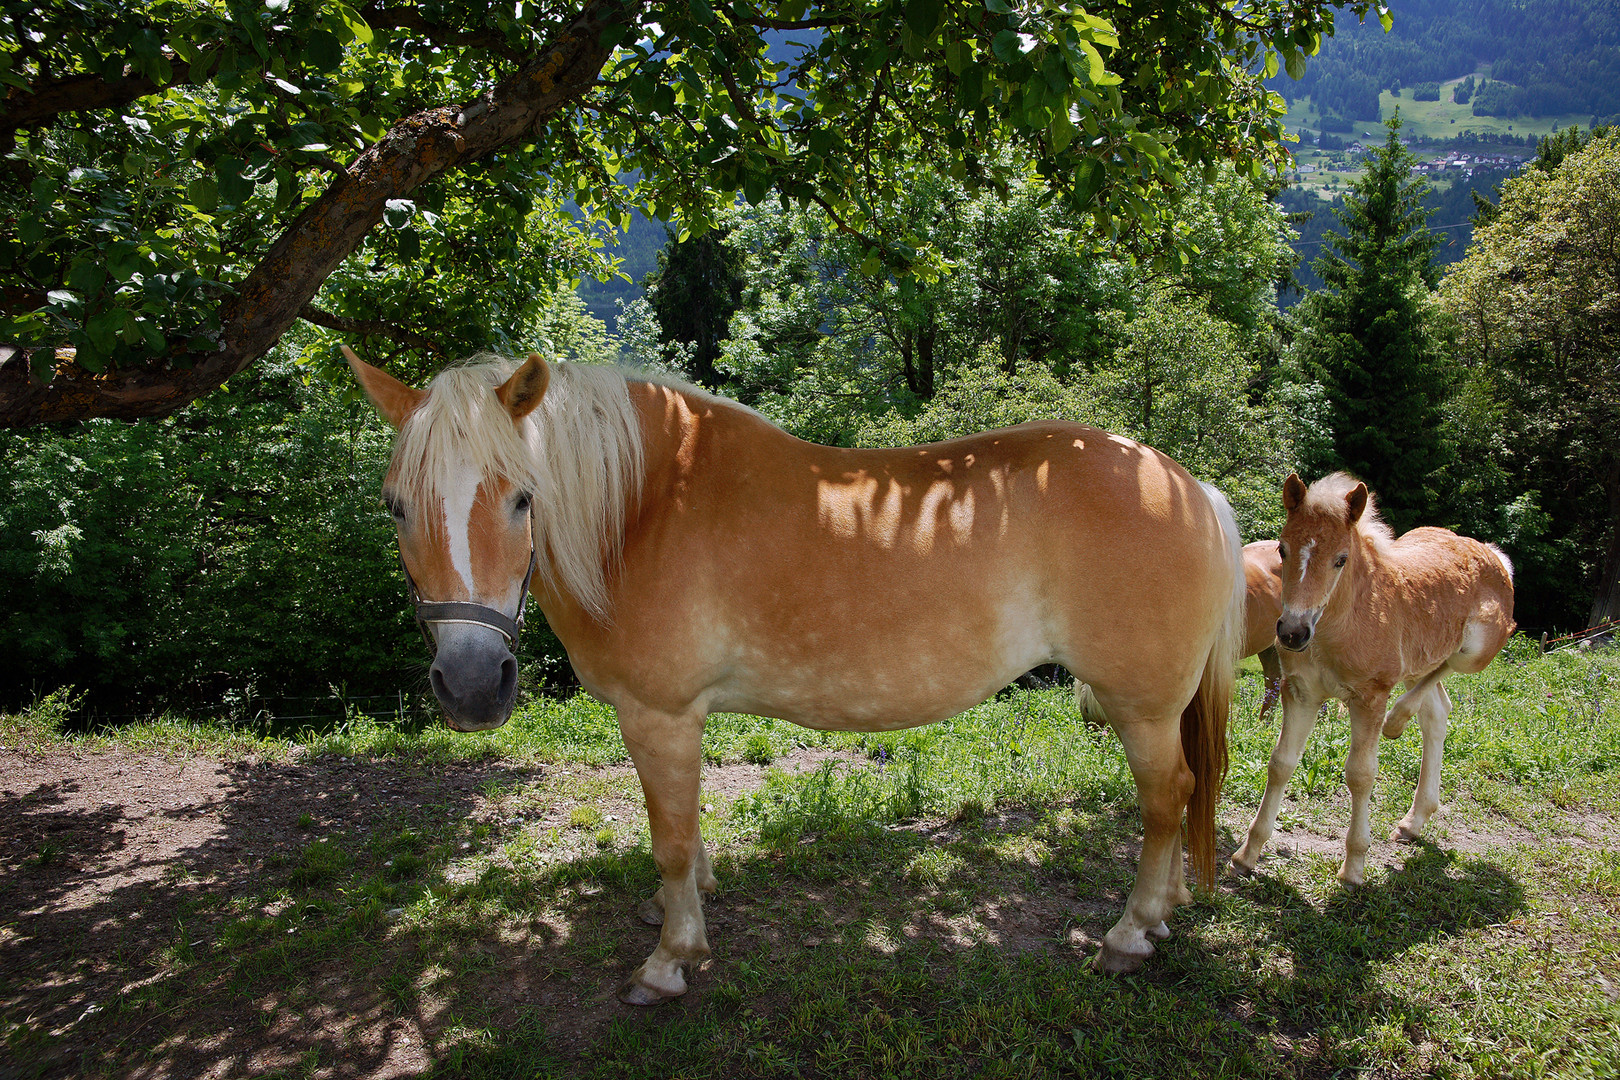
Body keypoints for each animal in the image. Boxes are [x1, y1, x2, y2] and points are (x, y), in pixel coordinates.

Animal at [341, 346, 1244, 1003]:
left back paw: (1130, 933)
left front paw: (670, 958)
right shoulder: (675, 721)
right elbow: (685, 828)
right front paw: (679, 906)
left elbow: (670, 836)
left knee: (1167, 800)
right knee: (1179, 799)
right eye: (394, 504)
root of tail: (1187, 484)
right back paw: (1159, 919)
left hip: (1141, 708)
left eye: (522, 498)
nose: (471, 685)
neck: (642, 508)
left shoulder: (659, 714)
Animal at [1224, 472, 1516, 887]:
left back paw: (1398, 719)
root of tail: (1493, 553)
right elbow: (1281, 763)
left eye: (1341, 559)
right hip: (1423, 657)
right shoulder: (1301, 693)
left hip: (1475, 650)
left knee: (1444, 674)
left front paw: (1353, 869)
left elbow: (1360, 774)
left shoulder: (1369, 698)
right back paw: (1413, 821)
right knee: (1437, 710)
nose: (1293, 633)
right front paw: (1246, 856)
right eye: (1282, 550)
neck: (1341, 625)